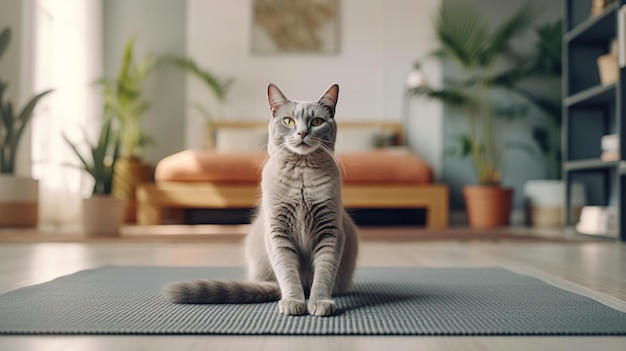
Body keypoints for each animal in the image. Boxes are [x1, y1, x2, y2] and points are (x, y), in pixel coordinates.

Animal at [163, 84, 358, 318]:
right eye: (288, 121)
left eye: (316, 122)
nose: (302, 132)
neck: (302, 173)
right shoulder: (278, 233)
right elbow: (288, 274)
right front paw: (293, 301)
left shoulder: (330, 232)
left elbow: (324, 274)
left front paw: (320, 302)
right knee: (279, 284)